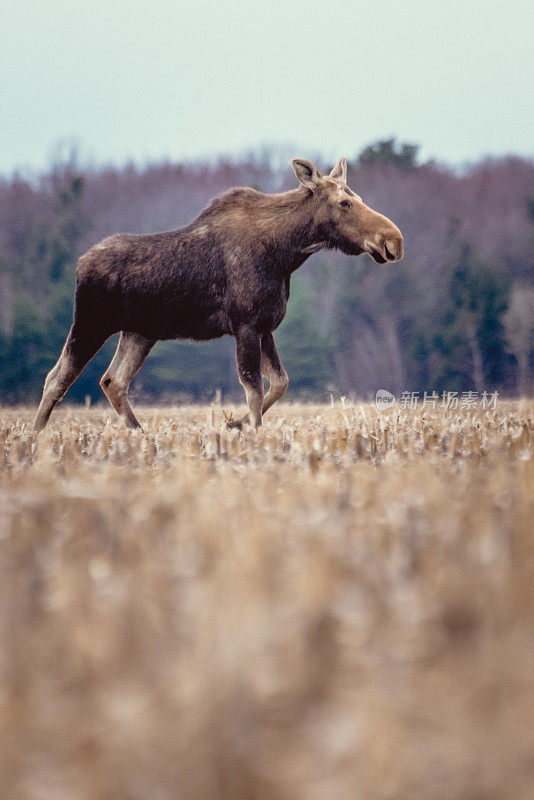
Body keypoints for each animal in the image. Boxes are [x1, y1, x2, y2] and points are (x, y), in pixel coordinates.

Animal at [33, 155, 404, 432]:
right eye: (344, 202)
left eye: (356, 198)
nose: (394, 240)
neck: (286, 252)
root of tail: (81, 263)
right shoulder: (245, 324)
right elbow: (253, 388)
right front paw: (252, 433)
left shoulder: (264, 326)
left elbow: (279, 382)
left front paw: (234, 424)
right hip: (90, 323)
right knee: (57, 377)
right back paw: (36, 438)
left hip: (139, 332)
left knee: (113, 380)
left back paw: (139, 432)